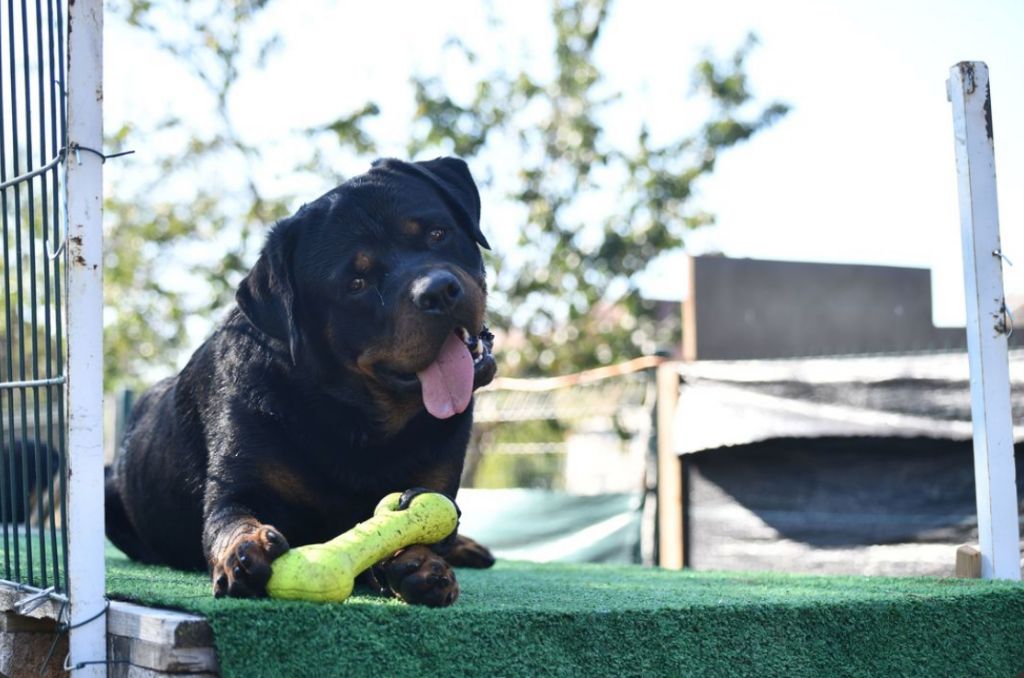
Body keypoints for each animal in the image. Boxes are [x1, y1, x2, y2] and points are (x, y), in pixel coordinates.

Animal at [105, 157, 497, 606]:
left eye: (437, 234)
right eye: (357, 283)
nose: (439, 291)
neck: (360, 421)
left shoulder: (436, 486)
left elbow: (424, 522)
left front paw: (419, 561)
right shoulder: (237, 482)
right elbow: (230, 517)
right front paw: (245, 546)